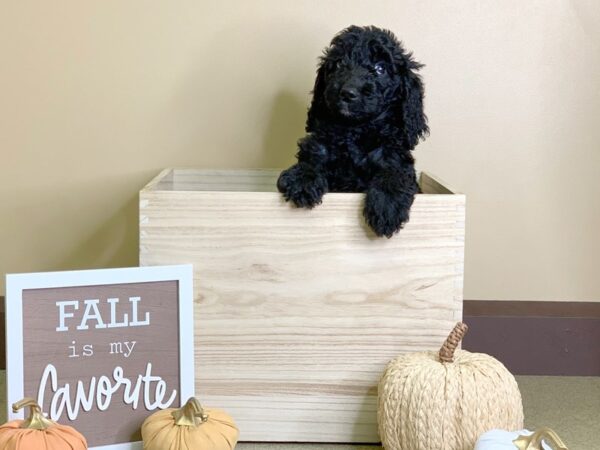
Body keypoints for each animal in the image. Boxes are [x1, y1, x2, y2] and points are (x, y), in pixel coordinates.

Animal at [278, 25, 428, 237]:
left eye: (380, 69)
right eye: (339, 64)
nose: (348, 93)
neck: (355, 130)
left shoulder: (394, 155)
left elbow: (395, 173)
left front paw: (387, 207)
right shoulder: (321, 145)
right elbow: (312, 156)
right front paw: (302, 179)